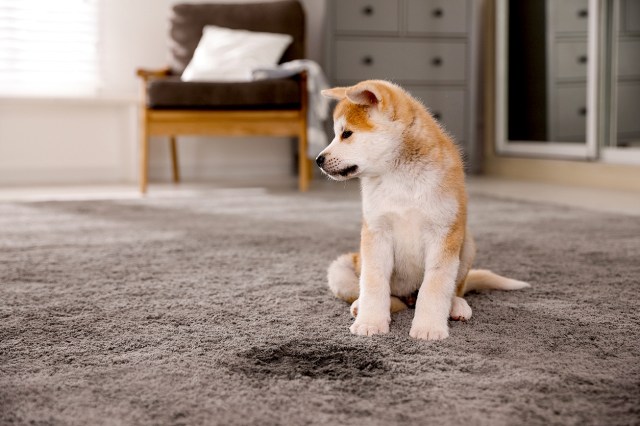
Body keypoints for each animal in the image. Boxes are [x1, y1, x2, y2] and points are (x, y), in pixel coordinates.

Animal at [316, 79, 528, 340]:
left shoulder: (443, 233)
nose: (318, 160)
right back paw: (361, 306)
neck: (400, 178)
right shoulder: (376, 232)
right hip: (348, 266)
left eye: (346, 133)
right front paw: (370, 322)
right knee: (383, 293)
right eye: (337, 133)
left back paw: (456, 305)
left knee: (455, 288)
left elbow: (435, 286)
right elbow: (374, 283)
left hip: (466, 243)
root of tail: (408, 296)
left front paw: (428, 328)